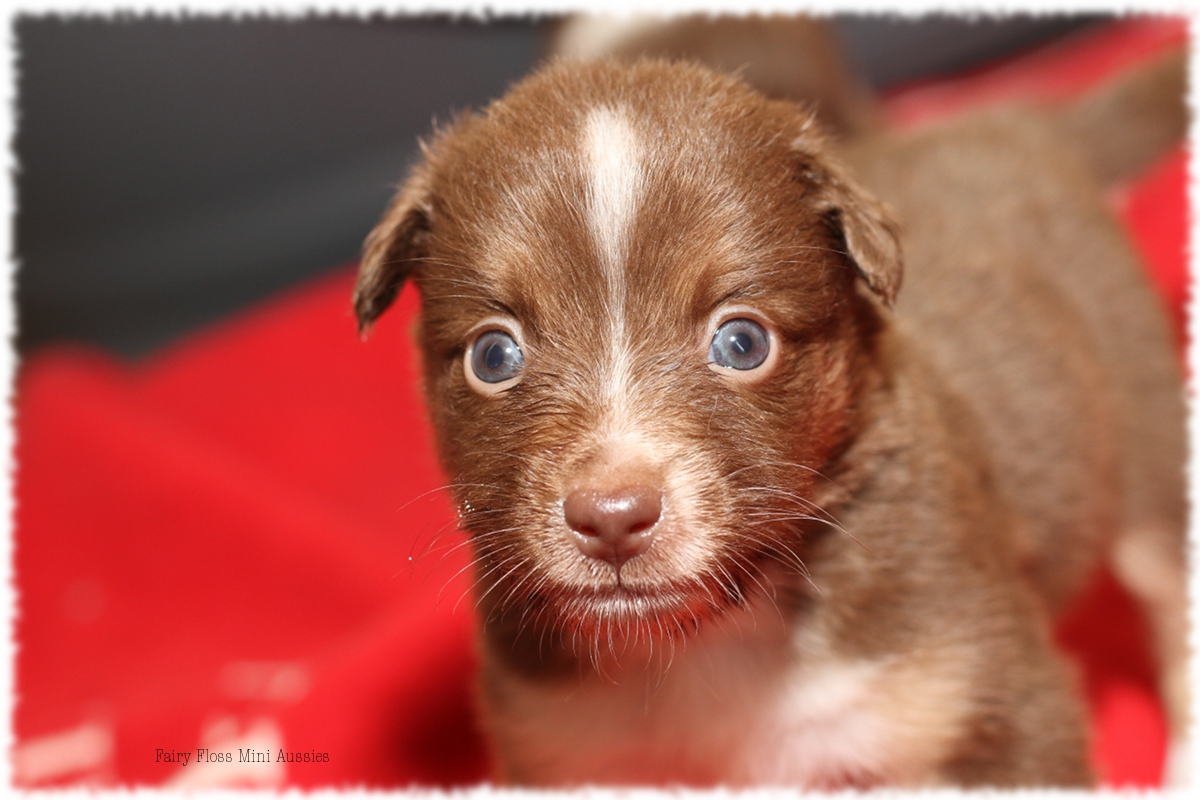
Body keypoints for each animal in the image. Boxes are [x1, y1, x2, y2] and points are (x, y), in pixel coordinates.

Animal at [350, 54, 1185, 786]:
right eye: (494, 356)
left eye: (742, 342)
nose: (613, 516)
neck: (711, 637)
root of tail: (1019, 122)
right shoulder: (564, 746)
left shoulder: (992, 695)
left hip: (1146, 435)